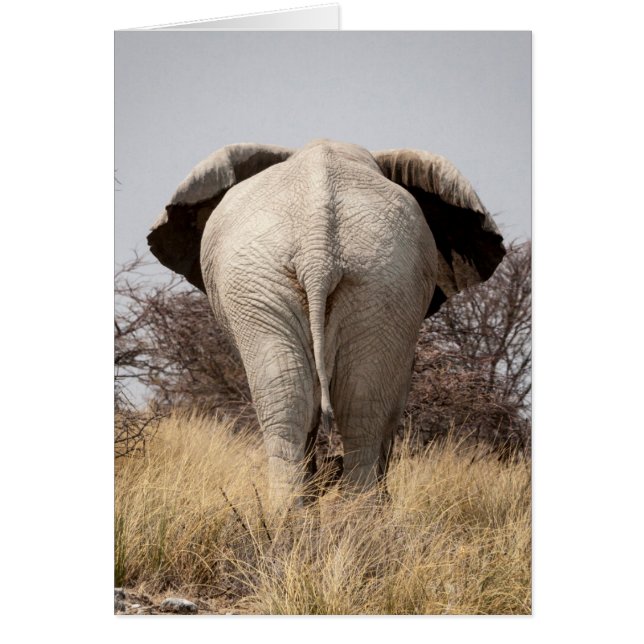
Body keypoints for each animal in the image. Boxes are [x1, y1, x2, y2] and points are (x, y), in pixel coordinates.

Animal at [148, 139, 505, 510]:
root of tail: (318, 247)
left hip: (367, 280)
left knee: (323, 400)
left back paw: (311, 516)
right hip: (303, 280)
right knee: (342, 403)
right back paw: (336, 515)